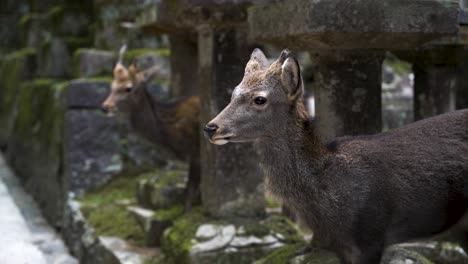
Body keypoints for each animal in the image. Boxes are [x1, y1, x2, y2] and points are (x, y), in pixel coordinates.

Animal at [101, 44, 200, 210]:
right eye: (112, 86)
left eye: (128, 88)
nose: (105, 107)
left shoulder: (195, 152)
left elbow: (190, 189)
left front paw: (188, 209)